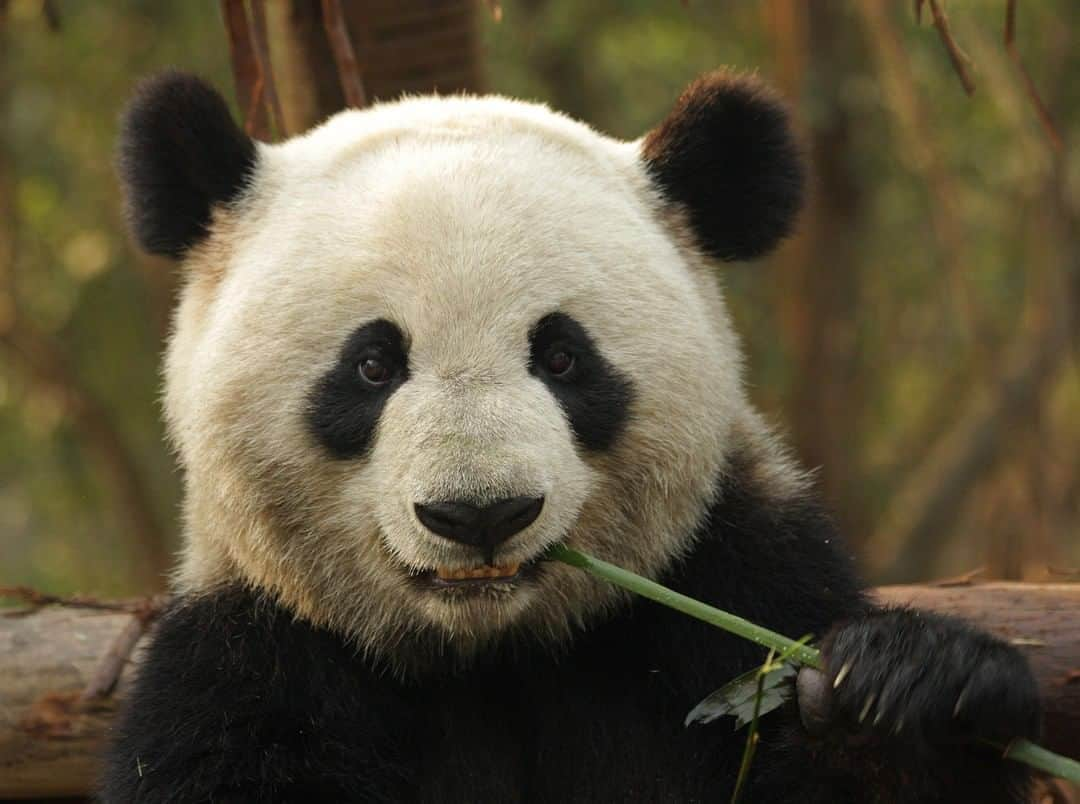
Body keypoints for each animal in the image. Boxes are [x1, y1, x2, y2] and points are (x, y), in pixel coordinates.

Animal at [101, 70, 1036, 804]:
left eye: (560, 356)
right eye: (371, 365)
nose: (480, 514)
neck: (491, 655)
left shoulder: (730, 585)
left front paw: (903, 693)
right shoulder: (254, 661)